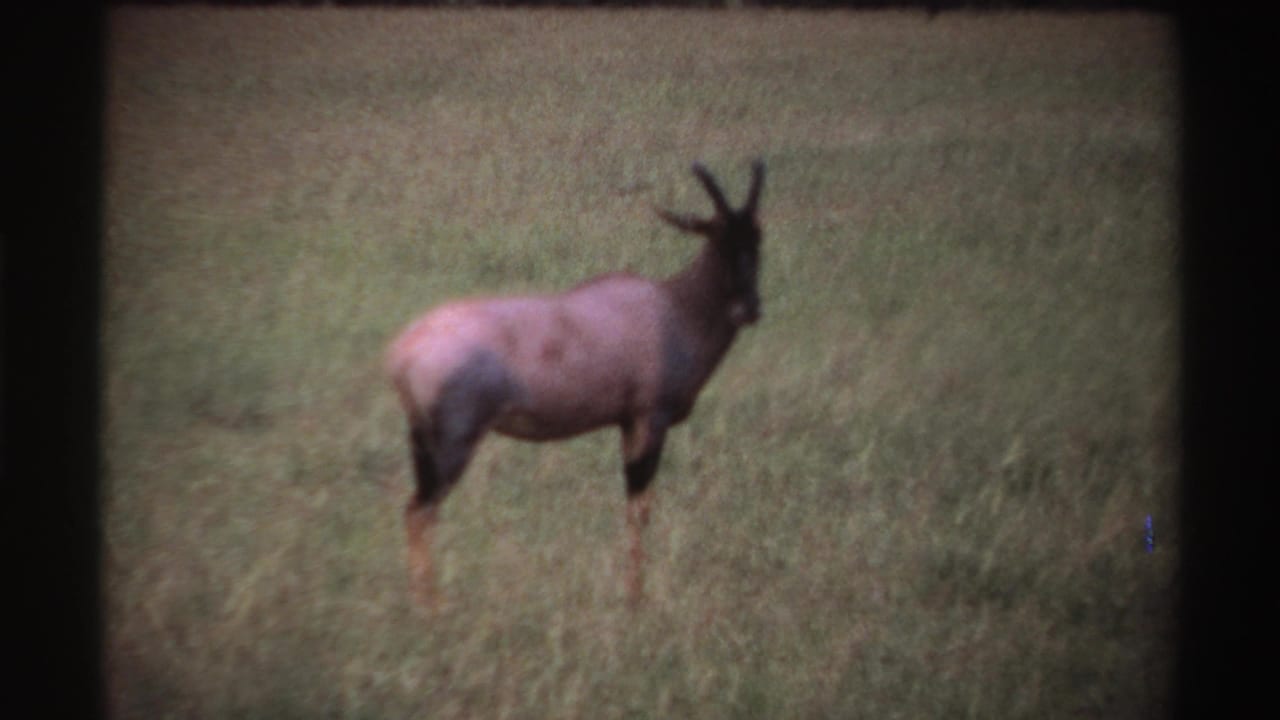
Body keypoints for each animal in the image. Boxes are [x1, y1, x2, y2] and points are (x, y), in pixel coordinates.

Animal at [387, 160, 765, 607]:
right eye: (718, 238)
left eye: (757, 238)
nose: (749, 309)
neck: (671, 308)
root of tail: (405, 351)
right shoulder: (649, 419)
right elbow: (639, 509)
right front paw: (635, 601)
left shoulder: (626, 423)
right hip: (453, 443)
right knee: (421, 512)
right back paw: (431, 610)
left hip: (421, 441)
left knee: (415, 511)